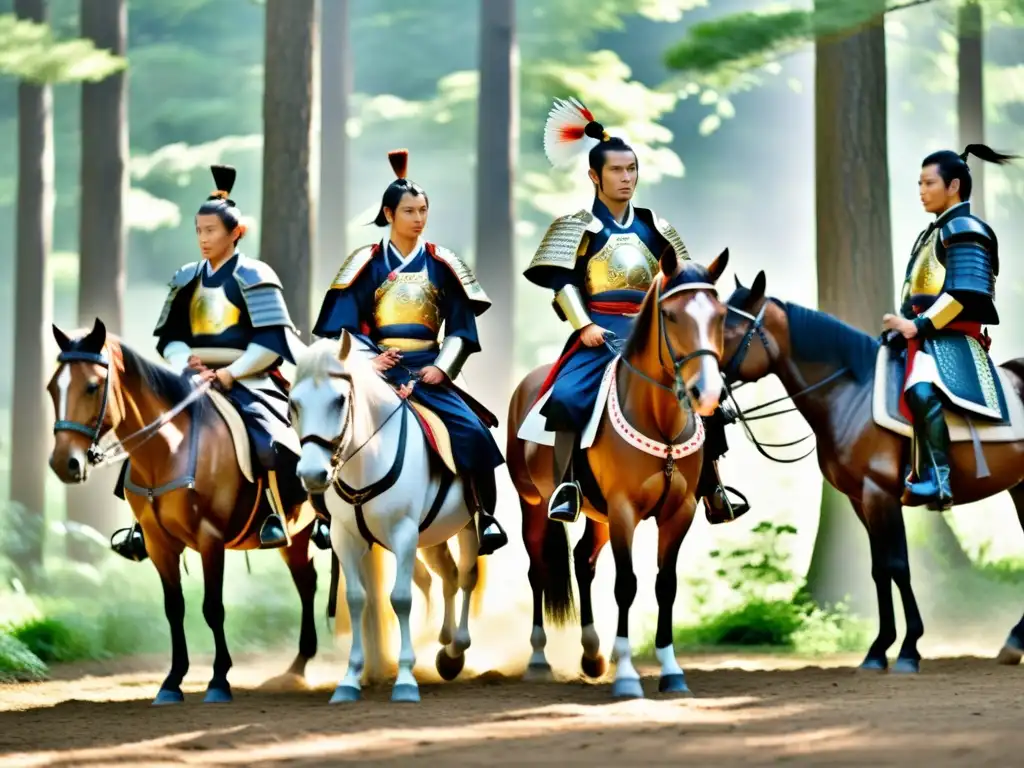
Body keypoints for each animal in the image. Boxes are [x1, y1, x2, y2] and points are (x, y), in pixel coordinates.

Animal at [46, 321, 325, 708]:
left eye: (91, 386)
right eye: (51, 387)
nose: (64, 463)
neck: (167, 450)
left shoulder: (210, 539)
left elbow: (213, 607)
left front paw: (219, 680)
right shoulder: (158, 543)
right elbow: (174, 607)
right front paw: (172, 681)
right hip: (295, 534)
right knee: (306, 580)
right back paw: (298, 666)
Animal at [288, 333, 487, 708]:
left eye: (339, 400)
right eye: (294, 403)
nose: (312, 474)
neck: (366, 459)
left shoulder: (404, 533)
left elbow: (401, 598)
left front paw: (406, 679)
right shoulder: (345, 538)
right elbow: (356, 599)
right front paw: (350, 679)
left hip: (467, 526)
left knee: (467, 576)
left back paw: (455, 651)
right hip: (433, 537)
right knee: (449, 577)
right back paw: (443, 639)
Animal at [503, 249, 729, 700]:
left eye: (720, 314)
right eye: (671, 316)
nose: (708, 393)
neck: (660, 423)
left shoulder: (678, 513)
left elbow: (665, 584)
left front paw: (671, 670)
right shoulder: (624, 510)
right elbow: (626, 583)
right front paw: (626, 675)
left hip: (598, 515)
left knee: (583, 560)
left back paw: (592, 655)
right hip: (533, 503)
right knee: (538, 569)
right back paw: (539, 660)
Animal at [720, 272, 1024, 671]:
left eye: (728, 329)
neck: (851, 394)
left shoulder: (880, 494)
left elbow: (897, 565)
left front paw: (909, 649)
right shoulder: (860, 499)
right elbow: (880, 569)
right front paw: (879, 649)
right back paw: (1014, 642)